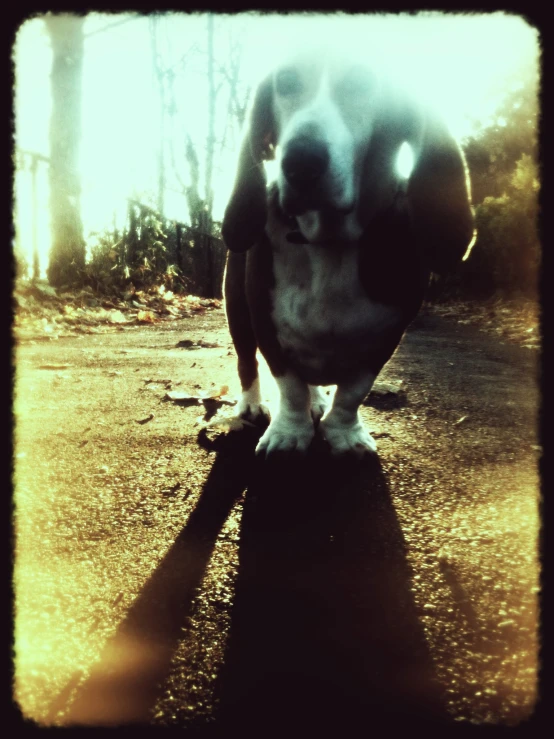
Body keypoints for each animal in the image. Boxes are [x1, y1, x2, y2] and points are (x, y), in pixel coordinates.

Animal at [222, 47, 472, 456]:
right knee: (247, 360)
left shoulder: (386, 339)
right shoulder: (266, 324)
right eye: (286, 80)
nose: (301, 161)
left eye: (362, 80)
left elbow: (355, 390)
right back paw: (252, 404)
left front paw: (344, 432)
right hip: (237, 311)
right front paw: (289, 433)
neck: (329, 242)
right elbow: (289, 385)